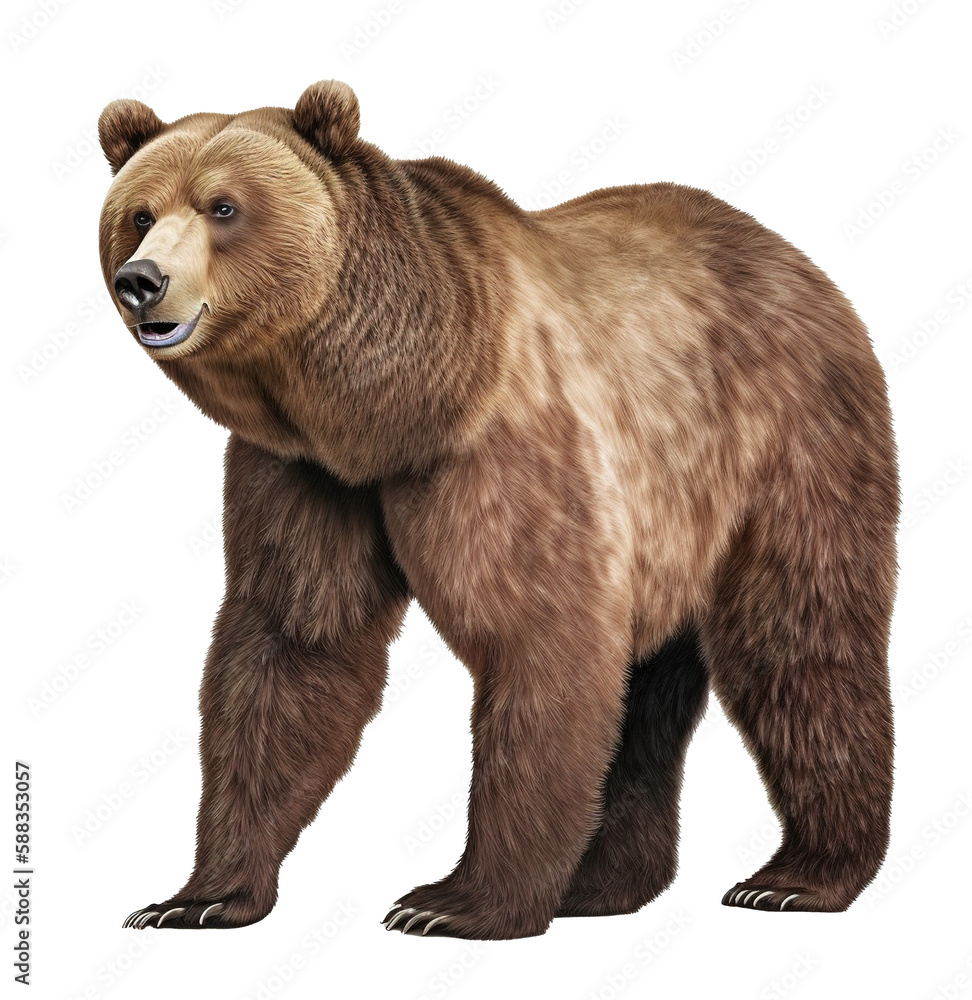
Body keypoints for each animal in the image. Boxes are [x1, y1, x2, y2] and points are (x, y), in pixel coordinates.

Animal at [98, 80, 899, 939]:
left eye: (223, 207)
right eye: (140, 213)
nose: (142, 279)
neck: (382, 402)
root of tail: (796, 259)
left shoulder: (500, 445)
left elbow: (537, 633)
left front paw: (451, 902)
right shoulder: (304, 474)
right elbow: (293, 641)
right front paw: (196, 897)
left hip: (786, 441)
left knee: (798, 640)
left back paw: (795, 878)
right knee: (646, 691)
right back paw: (602, 883)